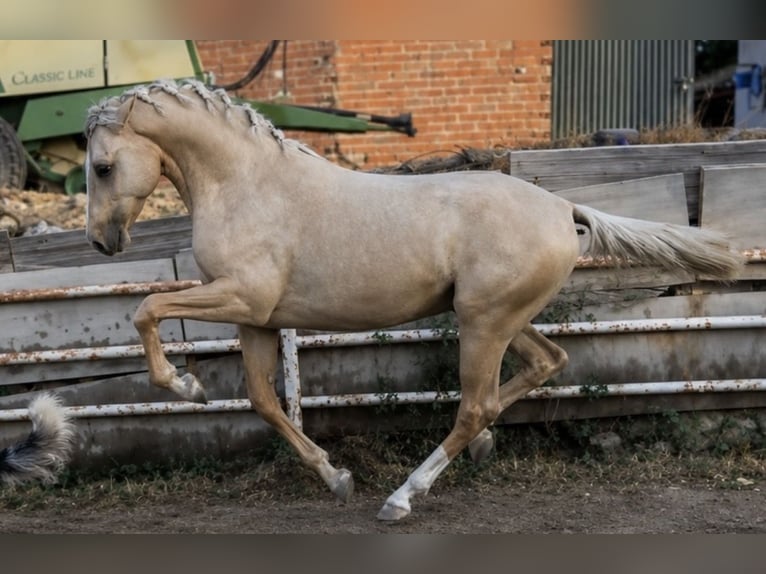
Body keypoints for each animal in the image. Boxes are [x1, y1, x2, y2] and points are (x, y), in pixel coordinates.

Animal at [84, 79, 743, 521]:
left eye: (102, 166)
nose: (101, 241)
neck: (249, 185)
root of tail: (563, 208)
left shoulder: (241, 299)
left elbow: (147, 309)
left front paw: (184, 385)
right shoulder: (257, 320)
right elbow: (264, 402)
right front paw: (336, 477)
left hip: (484, 323)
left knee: (477, 404)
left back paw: (404, 497)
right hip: (496, 318)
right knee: (545, 364)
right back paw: (479, 449)